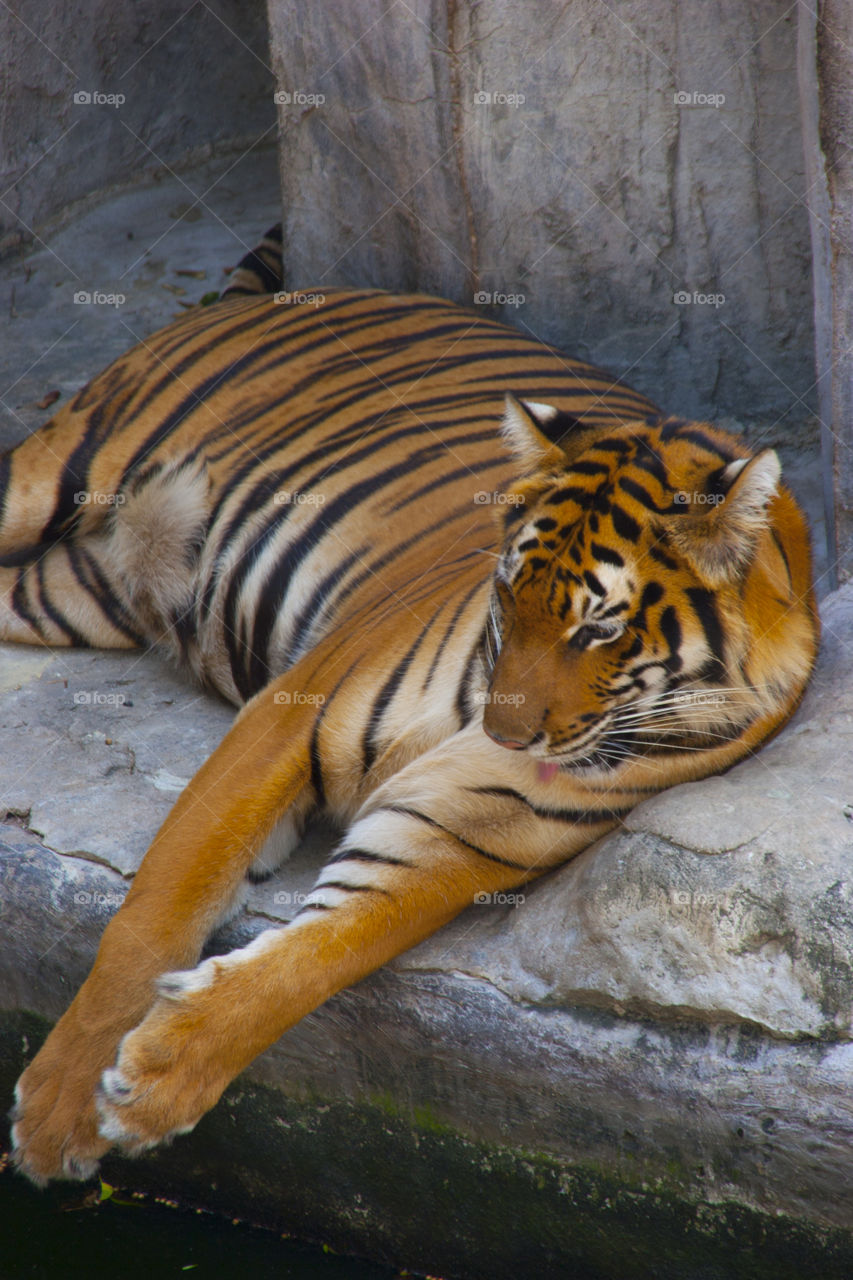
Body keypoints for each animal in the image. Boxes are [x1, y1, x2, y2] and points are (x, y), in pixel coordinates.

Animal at [6, 227, 819, 1177]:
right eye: (509, 597)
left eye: (597, 629)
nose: (504, 734)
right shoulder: (287, 717)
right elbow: (157, 911)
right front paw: (59, 1109)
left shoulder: (444, 838)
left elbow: (317, 956)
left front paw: (160, 1077)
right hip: (51, 480)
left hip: (65, 595)